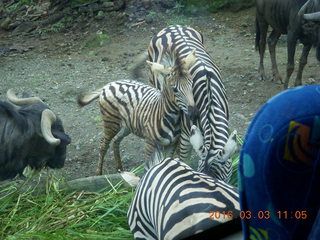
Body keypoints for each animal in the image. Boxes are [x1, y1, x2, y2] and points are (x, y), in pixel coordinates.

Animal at [137, 24, 235, 182]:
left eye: (223, 180)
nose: (193, 114)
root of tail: (173, 26)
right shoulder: (185, 134)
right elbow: (184, 159)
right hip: (154, 79)